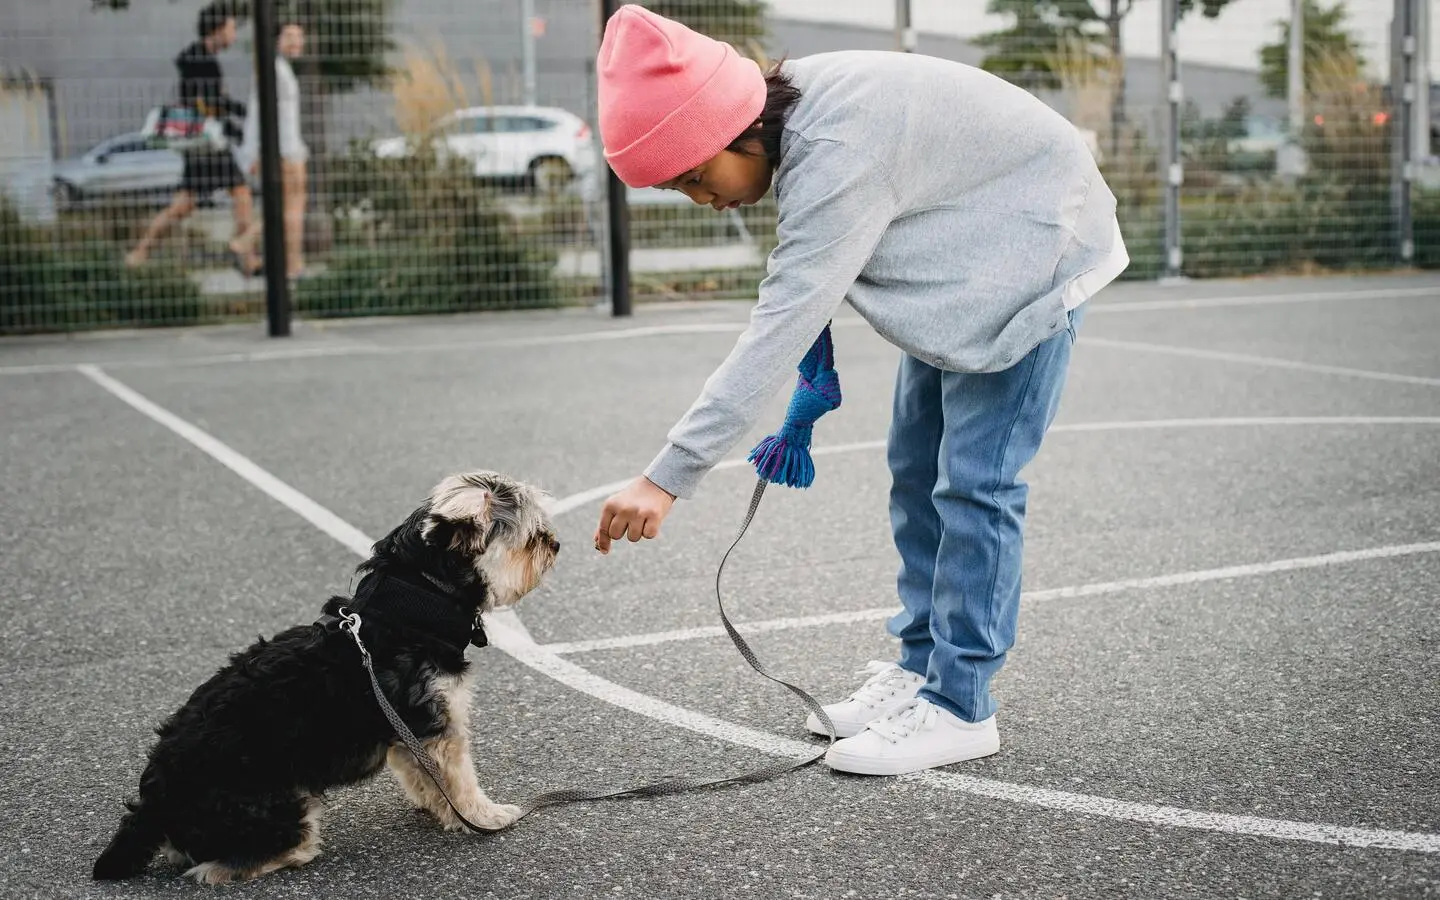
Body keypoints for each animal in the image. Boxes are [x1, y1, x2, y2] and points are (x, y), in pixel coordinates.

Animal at [92, 469, 558, 887]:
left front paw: (436, 806)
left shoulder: (408, 733)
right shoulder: (438, 727)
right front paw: (483, 816)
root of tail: (153, 803)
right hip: (279, 801)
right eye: (532, 537)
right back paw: (291, 853)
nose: (555, 544)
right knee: (219, 867)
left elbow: (423, 775)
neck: (415, 603)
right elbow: (460, 781)